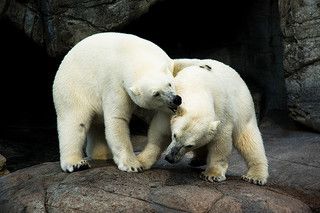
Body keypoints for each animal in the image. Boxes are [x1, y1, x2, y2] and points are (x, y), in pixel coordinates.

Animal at [53, 32, 181, 173]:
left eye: (169, 84)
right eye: (156, 94)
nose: (176, 99)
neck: (136, 56)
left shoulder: (167, 62)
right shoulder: (116, 83)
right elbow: (117, 119)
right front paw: (133, 165)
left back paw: (102, 154)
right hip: (74, 88)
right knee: (74, 122)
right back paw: (76, 163)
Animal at [138, 58, 268, 185]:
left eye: (189, 145)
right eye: (174, 135)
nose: (170, 157)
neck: (197, 87)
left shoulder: (222, 113)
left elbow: (220, 142)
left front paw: (212, 175)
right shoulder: (169, 110)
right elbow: (160, 133)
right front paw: (141, 162)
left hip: (243, 107)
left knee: (248, 140)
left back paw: (255, 176)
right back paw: (197, 160)